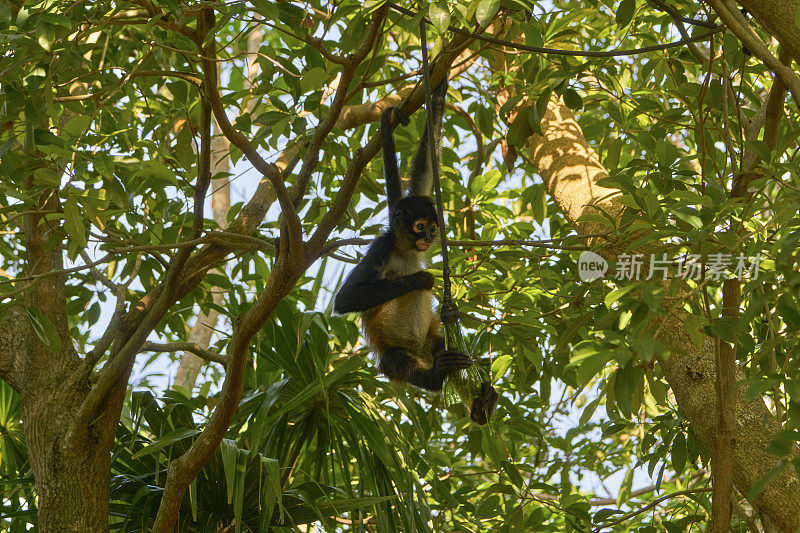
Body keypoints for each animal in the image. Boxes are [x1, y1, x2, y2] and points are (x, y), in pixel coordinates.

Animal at [330, 77, 494, 424]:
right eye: (420, 226)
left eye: (433, 227)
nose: (429, 237)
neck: (405, 248)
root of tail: (421, 353)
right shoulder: (381, 248)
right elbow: (345, 300)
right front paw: (424, 280)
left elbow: (425, 172)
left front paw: (439, 89)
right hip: (398, 353)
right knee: (396, 361)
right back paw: (435, 377)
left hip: (433, 340)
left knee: (453, 352)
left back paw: (480, 402)